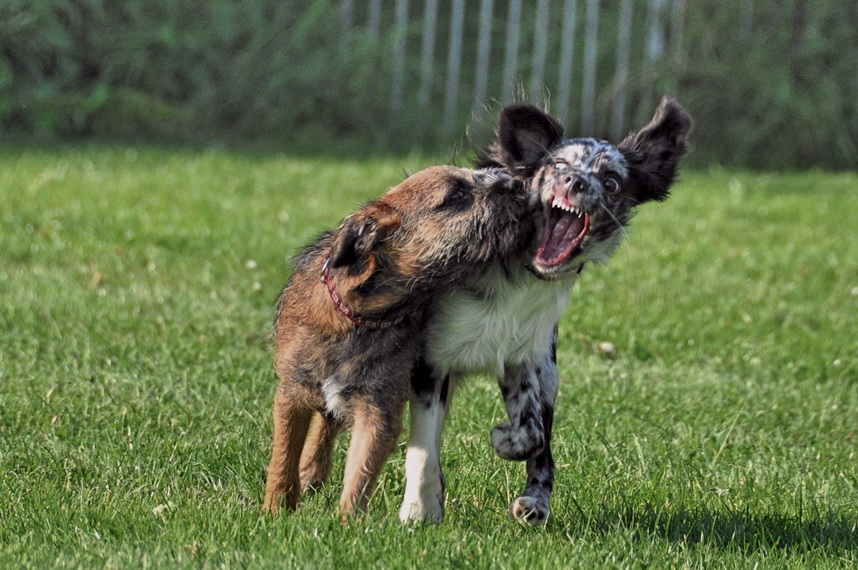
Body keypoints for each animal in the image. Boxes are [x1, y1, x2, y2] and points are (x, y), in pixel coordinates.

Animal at [260, 165, 532, 520]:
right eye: (457, 195)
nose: (517, 182)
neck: (363, 317)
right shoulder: (292, 394)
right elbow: (283, 457)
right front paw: (275, 511)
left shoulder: (378, 410)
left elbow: (359, 472)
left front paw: (345, 523)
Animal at [400, 96, 688, 524]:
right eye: (558, 166)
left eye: (611, 181)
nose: (576, 183)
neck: (515, 273)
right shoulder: (431, 362)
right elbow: (424, 449)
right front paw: (419, 510)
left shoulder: (524, 360)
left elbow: (533, 434)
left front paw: (505, 441)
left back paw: (536, 502)